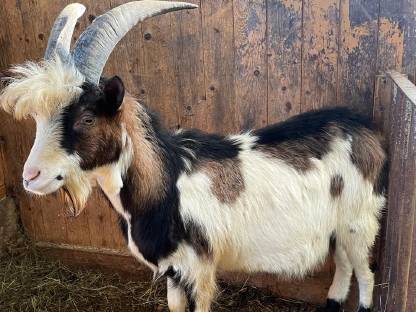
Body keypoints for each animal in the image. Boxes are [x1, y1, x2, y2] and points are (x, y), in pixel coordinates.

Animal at [0, 2, 386, 312]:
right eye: (38, 119)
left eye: (87, 118)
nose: (31, 176)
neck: (166, 184)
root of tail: (367, 129)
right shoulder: (173, 268)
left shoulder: (198, 266)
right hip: (339, 226)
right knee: (344, 265)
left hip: (360, 220)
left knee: (365, 274)